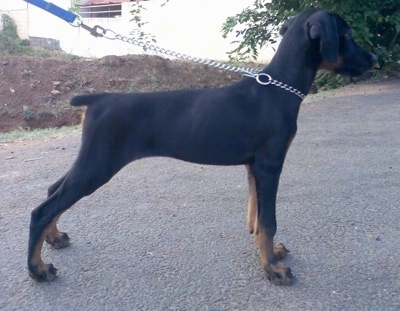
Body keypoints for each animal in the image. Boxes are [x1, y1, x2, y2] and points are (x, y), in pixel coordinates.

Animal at [26, 7, 376, 286]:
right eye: (347, 34)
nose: (374, 59)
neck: (278, 90)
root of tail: (97, 99)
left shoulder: (254, 166)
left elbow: (256, 217)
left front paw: (270, 253)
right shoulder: (269, 164)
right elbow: (268, 220)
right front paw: (273, 271)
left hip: (92, 161)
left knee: (53, 192)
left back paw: (55, 238)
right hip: (98, 165)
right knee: (43, 209)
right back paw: (38, 269)